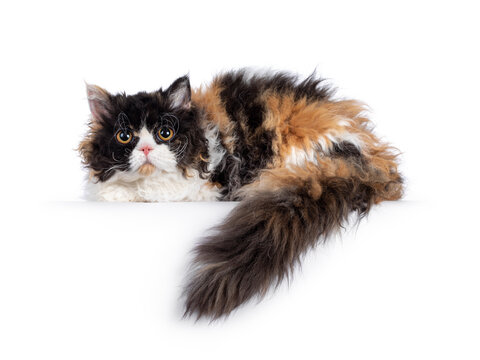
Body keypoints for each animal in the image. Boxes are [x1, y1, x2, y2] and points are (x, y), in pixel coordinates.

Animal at [79, 69, 404, 318]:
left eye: (165, 134)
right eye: (125, 136)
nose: (146, 149)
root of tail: (374, 161)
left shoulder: (205, 185)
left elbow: (146, 189)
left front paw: (115, 193)